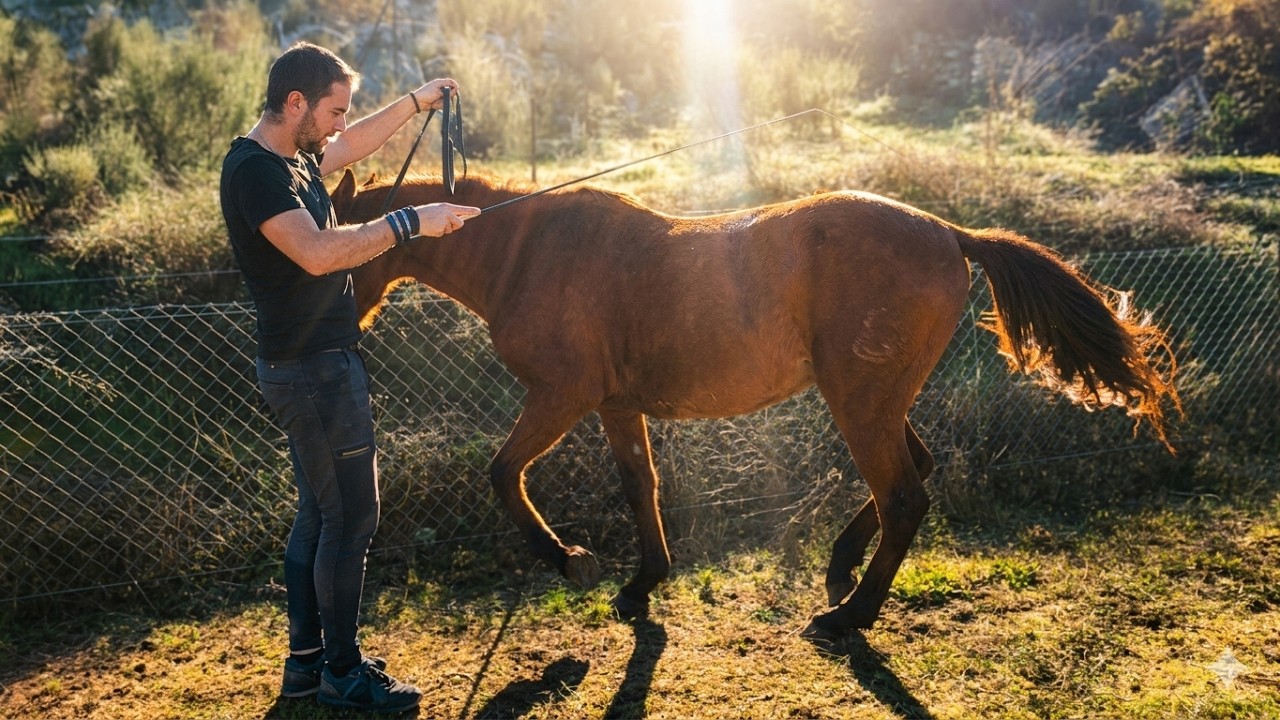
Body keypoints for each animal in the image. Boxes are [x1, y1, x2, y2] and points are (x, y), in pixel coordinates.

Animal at [331, 169, 1179, 637]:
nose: (339, 325)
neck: (528, 253)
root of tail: (949, 233)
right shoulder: (614, 404)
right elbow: (641, 487)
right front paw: (641, 584)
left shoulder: (561, 397)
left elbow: (504, 475)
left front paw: (568, 560)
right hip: (878, 399)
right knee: (918, 471)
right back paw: (842, 565)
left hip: (859, 401)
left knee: (904, 494)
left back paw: (849, 615)